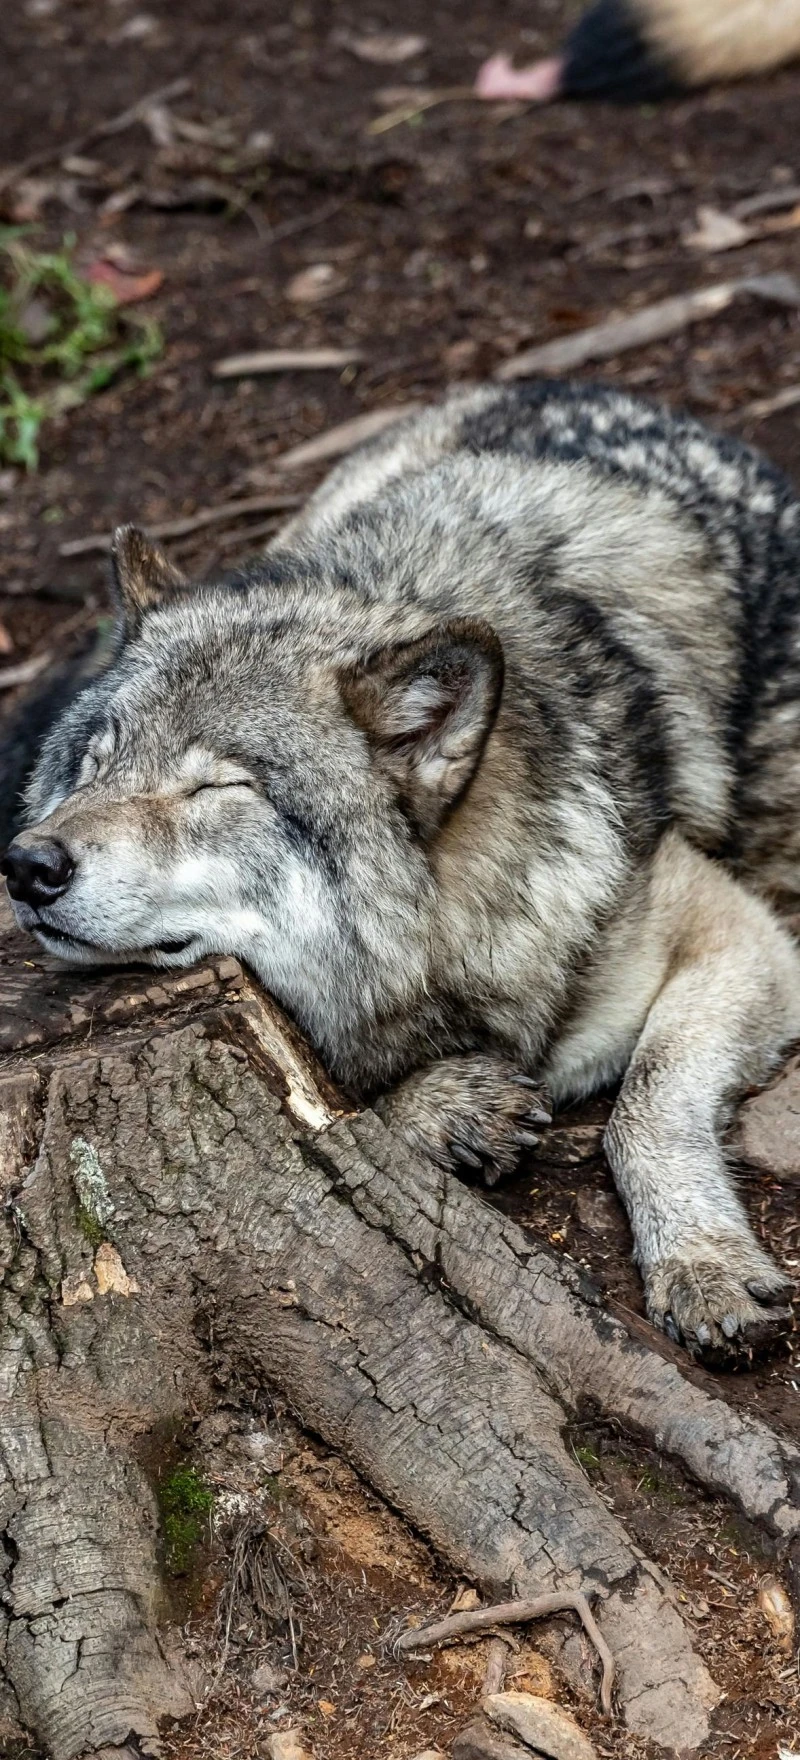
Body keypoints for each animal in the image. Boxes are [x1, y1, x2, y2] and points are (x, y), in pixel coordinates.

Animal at [5, 380, 800, 1363]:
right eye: (95, 763)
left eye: (217, 787)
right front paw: (443, 1108)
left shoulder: (739, 934)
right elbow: (339, 1112)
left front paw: (703, 1263)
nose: (27, 865)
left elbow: (646, 1100)